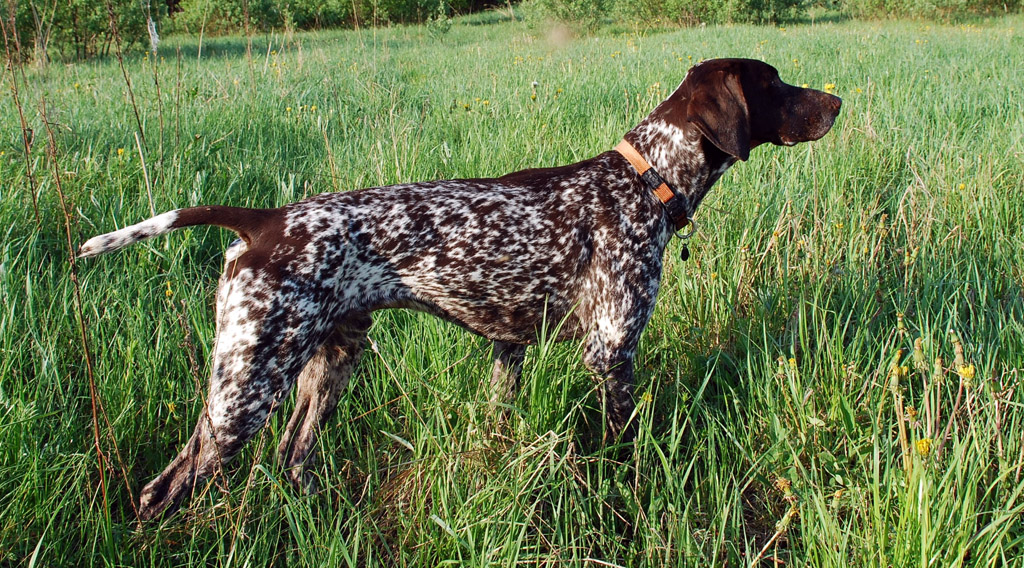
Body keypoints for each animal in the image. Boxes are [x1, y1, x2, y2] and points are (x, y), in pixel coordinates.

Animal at [79, 57, 843, 519]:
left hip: (329, 363)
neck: (643, 178)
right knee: (164, 487)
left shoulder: (509, 350)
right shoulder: (612, 351)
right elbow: (626, 443)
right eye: (774, 84)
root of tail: (263, 221)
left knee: (294, 457)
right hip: (245, 387)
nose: (837, 98)